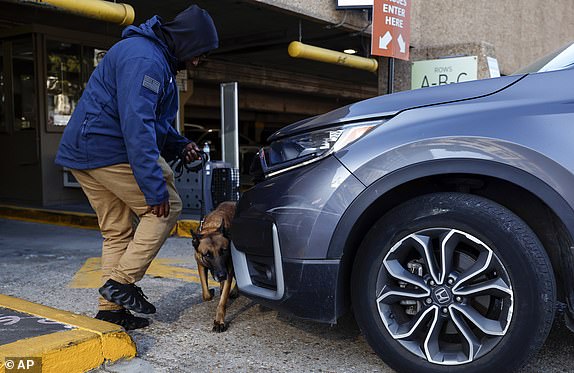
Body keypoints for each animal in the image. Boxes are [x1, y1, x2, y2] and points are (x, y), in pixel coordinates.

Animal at [192, 201, 237, 332]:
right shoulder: (201, 265)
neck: (211, 228)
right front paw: (210, 292)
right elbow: (206, 294)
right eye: (208, 255)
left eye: (224, 251)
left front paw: (219, 321)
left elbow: (222, 302)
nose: (221, 275)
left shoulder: (228, 271)